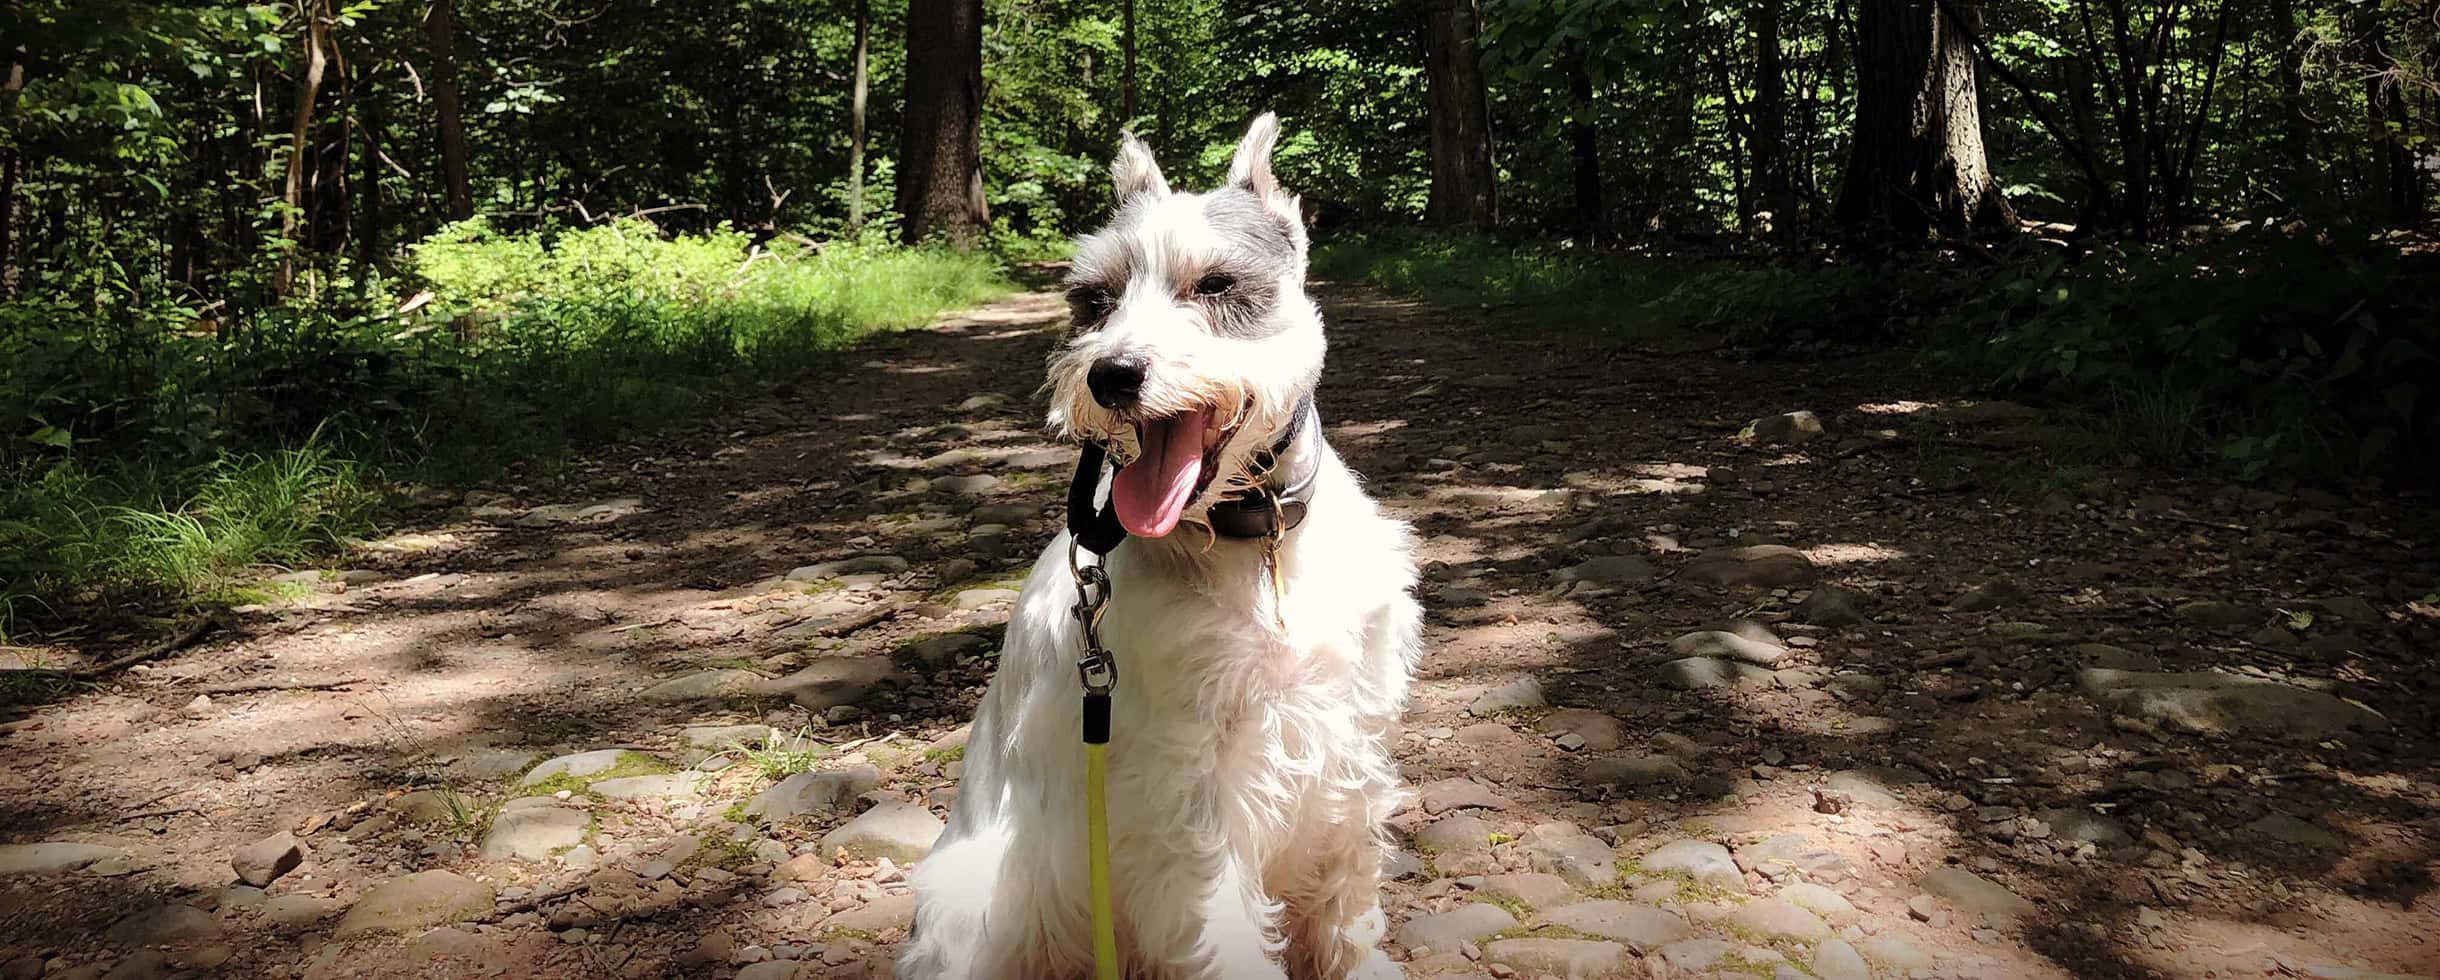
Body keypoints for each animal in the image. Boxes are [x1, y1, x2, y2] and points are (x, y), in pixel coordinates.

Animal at [897, 117, 1424, 980]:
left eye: (1214, 283)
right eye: (1094, 299)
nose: (1113, 374)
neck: (1259, 547)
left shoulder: (1349, 735)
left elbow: (1345, 888)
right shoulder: (1193, 790)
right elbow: (1228, 922)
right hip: (973, 904)